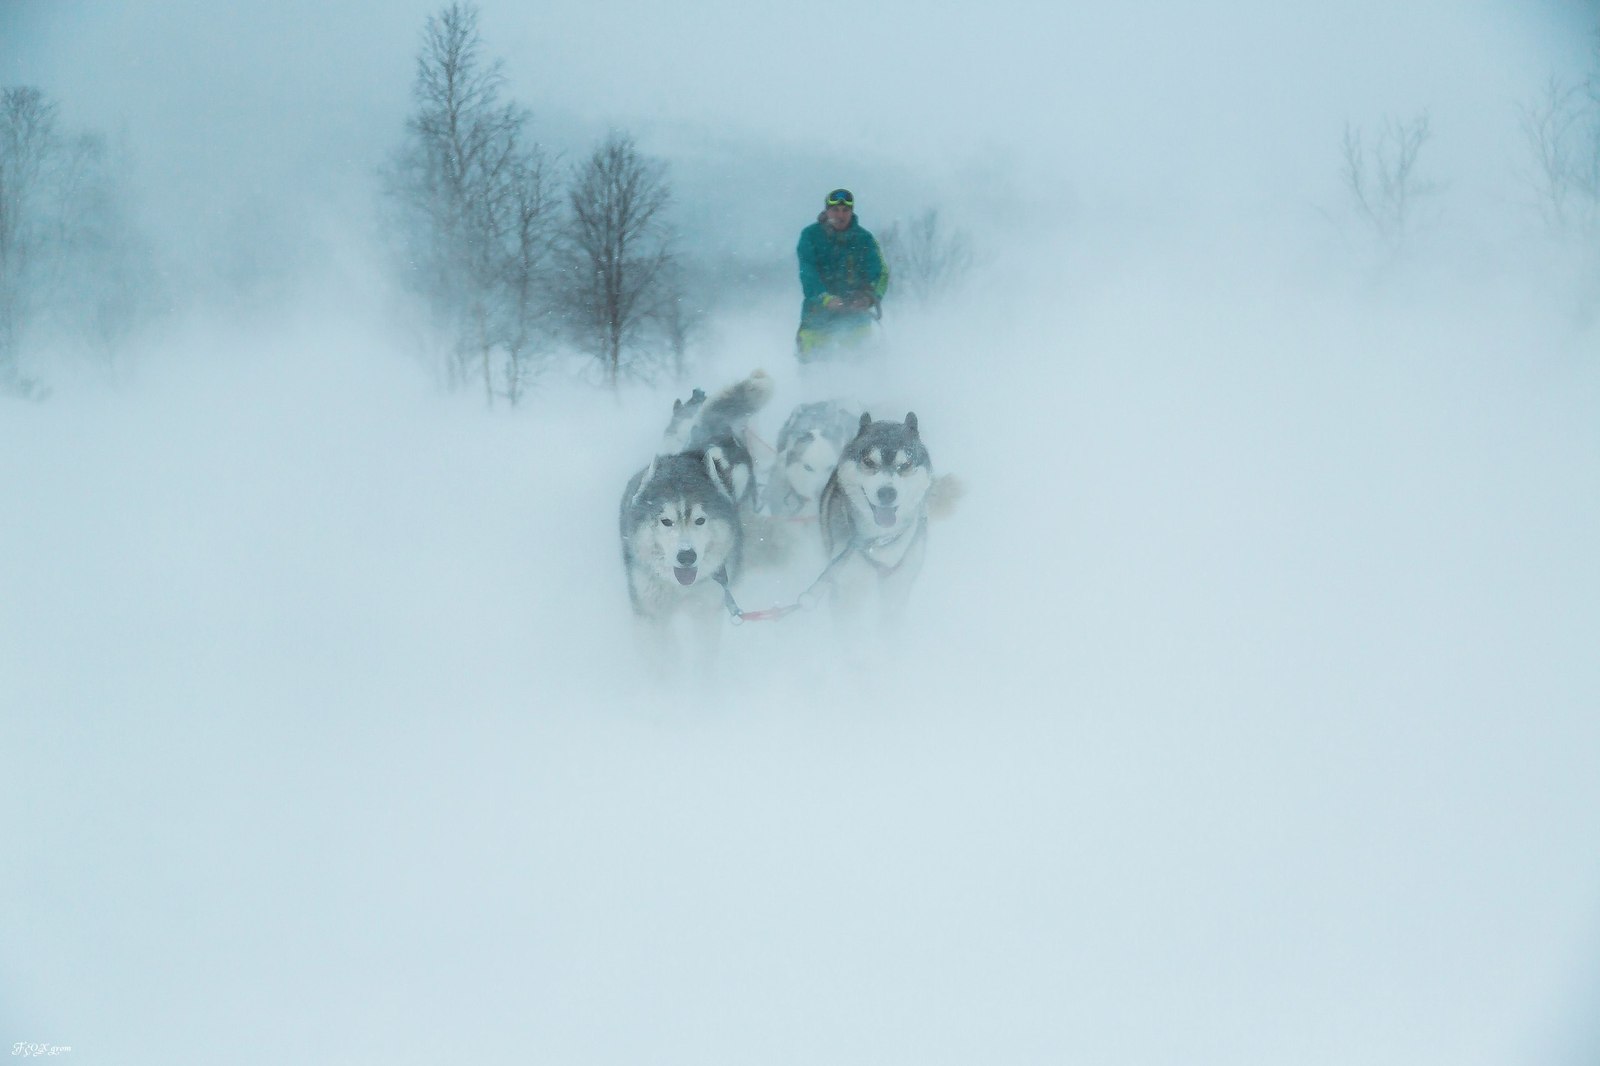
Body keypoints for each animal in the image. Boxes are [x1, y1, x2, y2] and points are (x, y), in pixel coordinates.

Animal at [819, 409, 934, 627]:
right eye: (869, 462)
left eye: (905, 464)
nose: (887, 493)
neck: (880, 541)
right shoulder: (847, 590)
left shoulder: (897, 587)